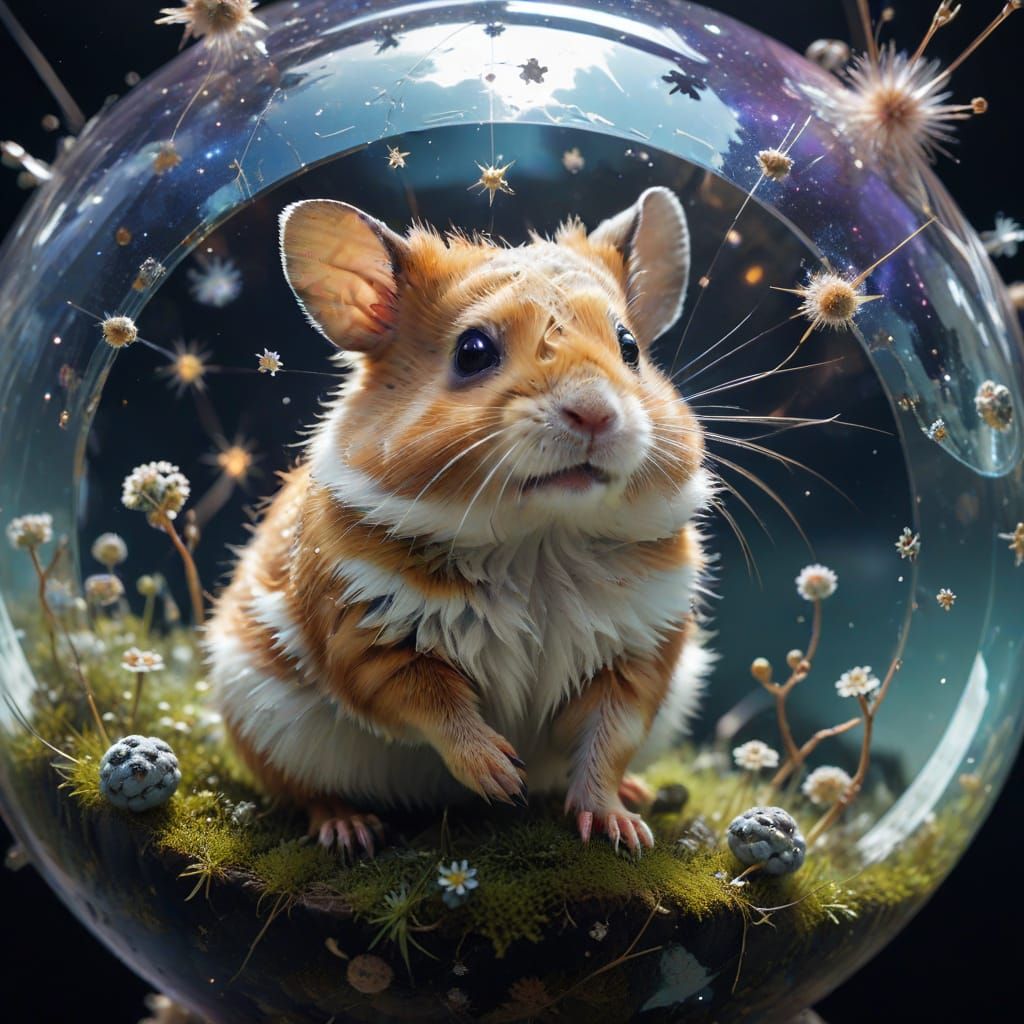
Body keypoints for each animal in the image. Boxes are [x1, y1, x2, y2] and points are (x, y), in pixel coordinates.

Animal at [205, 186, 714, 855]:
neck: (540, 541)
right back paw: (351, 830)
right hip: (261, 719)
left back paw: (638, 795)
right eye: (473, 352)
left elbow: (606, 744)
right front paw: (503, 777)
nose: (595, 414)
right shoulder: (369, 635)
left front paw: (623, 831)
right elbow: (435, 707)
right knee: (303, 792)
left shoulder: (639, 653)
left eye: (629, 347)